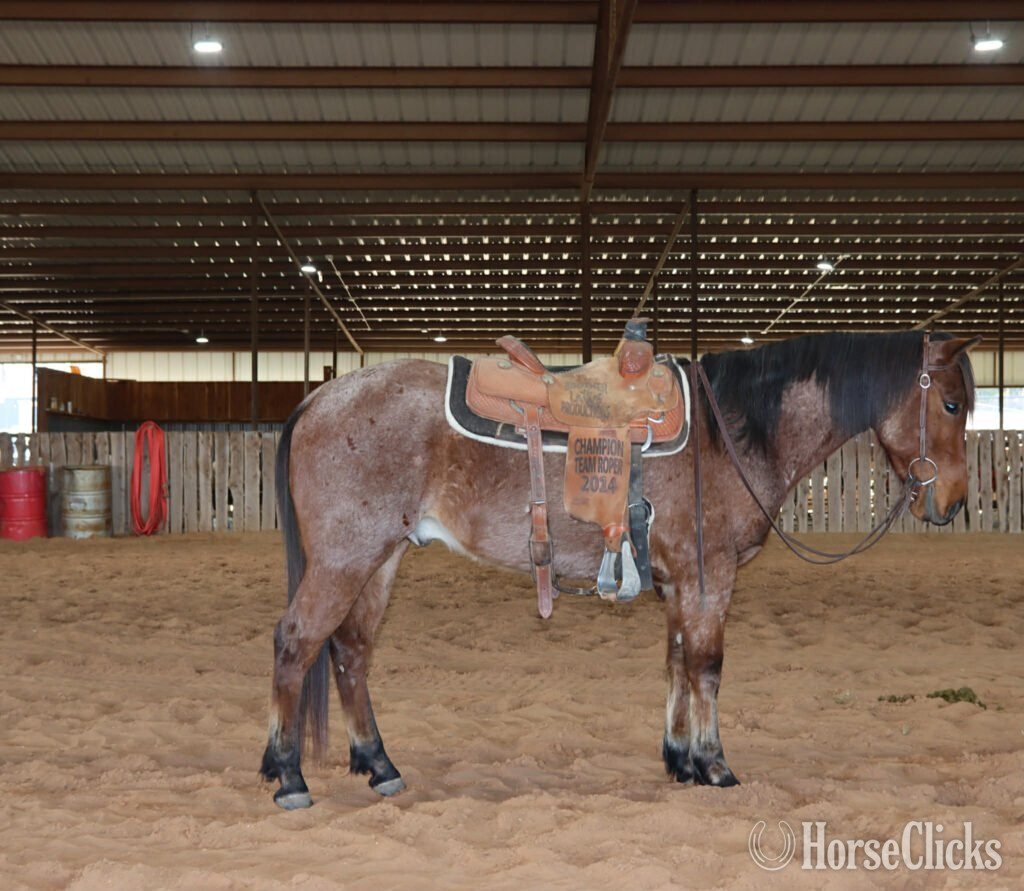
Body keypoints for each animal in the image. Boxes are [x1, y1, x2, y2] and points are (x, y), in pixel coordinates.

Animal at [259, 330, 978, 809]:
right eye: (950, 404)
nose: (951, 503)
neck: (728, 433)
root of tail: (320, 398)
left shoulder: (682, 579)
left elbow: (678, 660)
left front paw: (680, 759)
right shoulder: (710, 574)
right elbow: (707, 667)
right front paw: (715, 765)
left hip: (380, 559)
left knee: (350, 652)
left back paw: (378, 764)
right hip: (344, 559)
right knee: (296, 644)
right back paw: (290, 775)